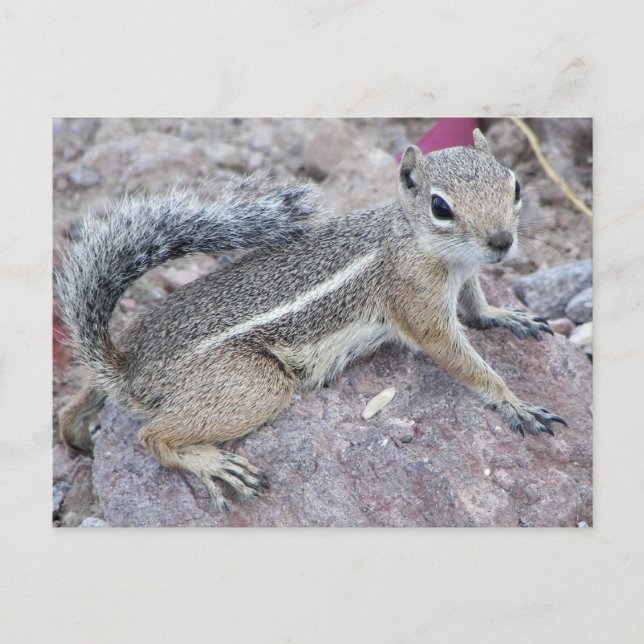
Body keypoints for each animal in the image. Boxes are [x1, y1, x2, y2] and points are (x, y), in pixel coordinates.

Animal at [56, 128, 566, 511]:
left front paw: (507, 315)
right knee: (152, 435)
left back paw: (75, 419)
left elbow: (477, 305)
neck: (417, 240)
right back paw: (214, 466)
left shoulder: (465, 277)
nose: (501, 242)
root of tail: (130, 370)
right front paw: (514, 402)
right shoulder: (418, 305)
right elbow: (458, 355)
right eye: (441, 207)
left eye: (516, 186)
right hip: (255, 384)